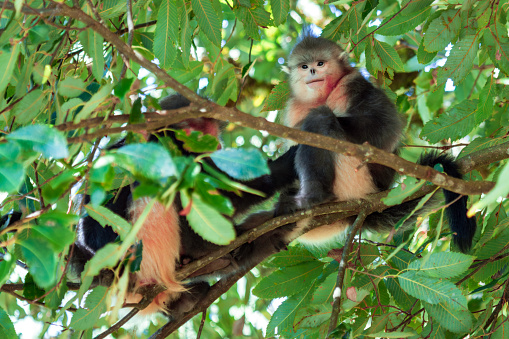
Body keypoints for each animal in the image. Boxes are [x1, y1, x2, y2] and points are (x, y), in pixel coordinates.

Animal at [270, 35, 476, 252]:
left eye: (320, 63)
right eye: (304, 66)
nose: (312, 71)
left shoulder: (352, 83)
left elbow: (385, 127)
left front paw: (305, 124)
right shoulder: (294, 108)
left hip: (356, 180)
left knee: (322, 119)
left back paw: (312, 196)